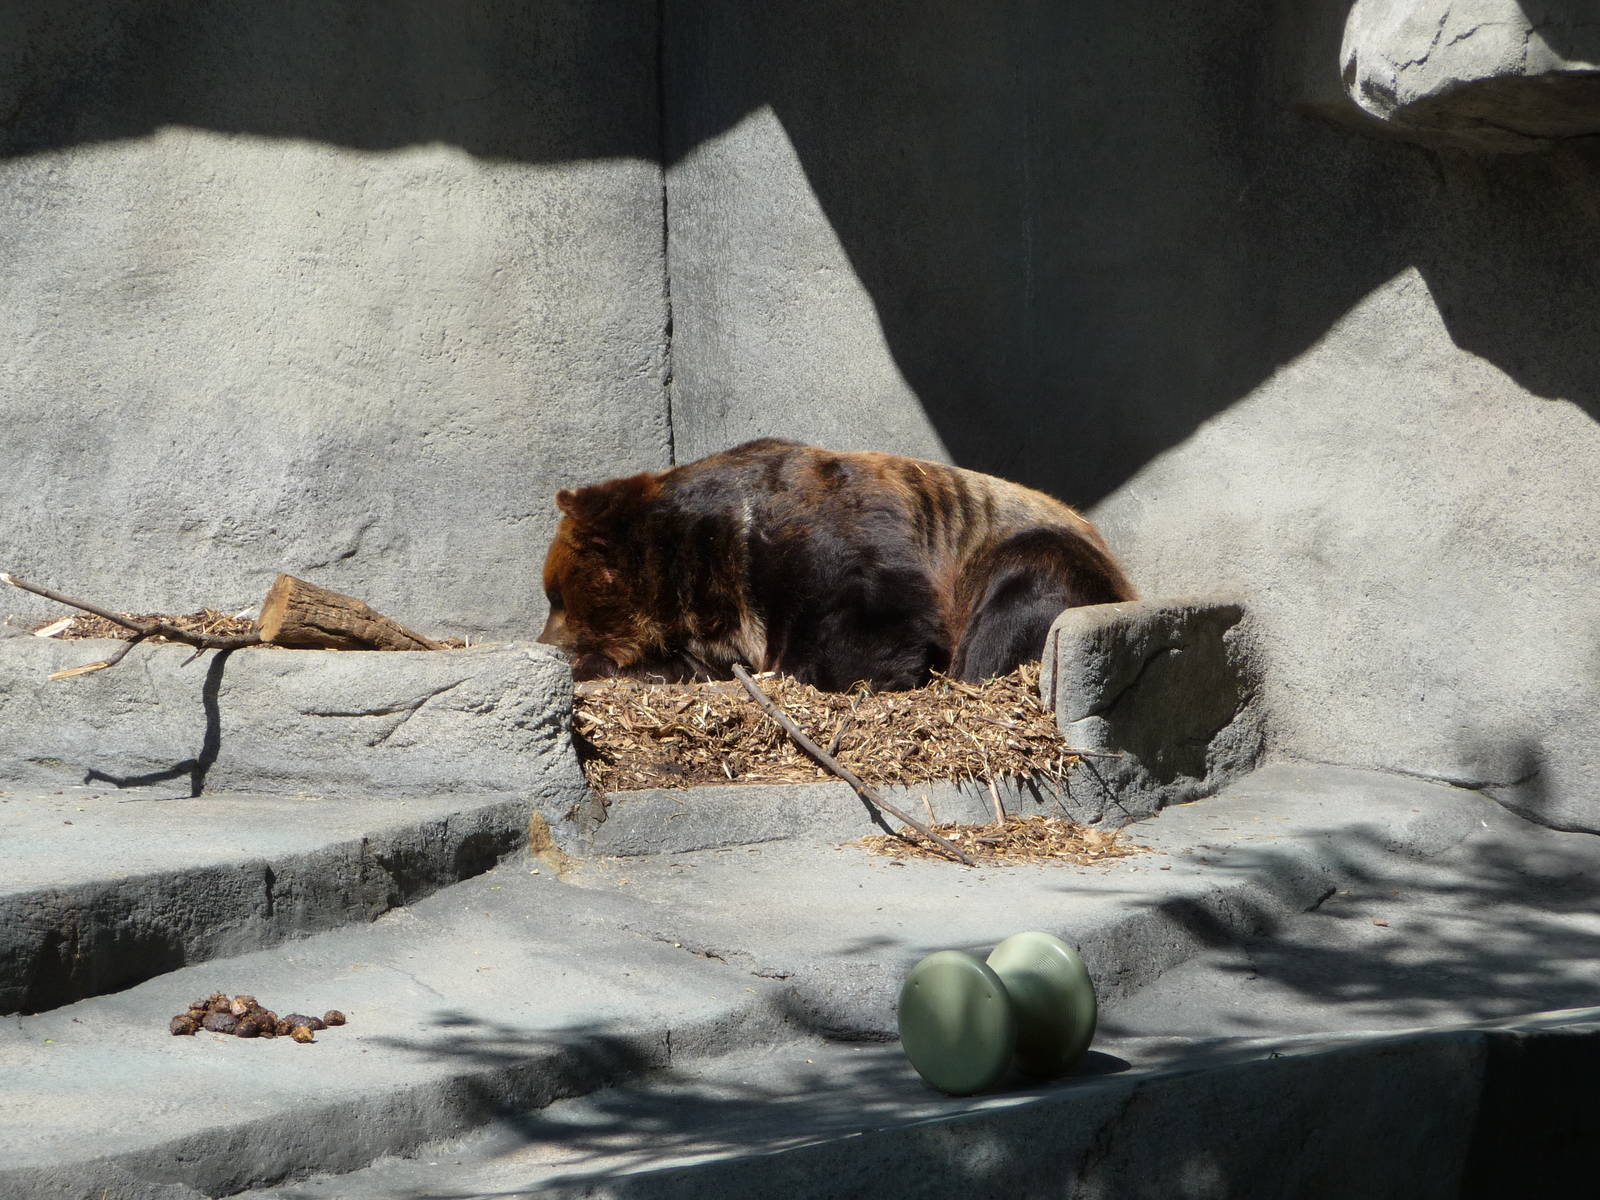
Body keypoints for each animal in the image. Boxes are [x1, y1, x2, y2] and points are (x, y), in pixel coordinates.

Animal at [538, 438, 1137, 691]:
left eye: (555, 596)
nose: (547, 642)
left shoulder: (829, 538)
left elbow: (876, 625)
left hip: (1029, 553)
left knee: (1014, 606)